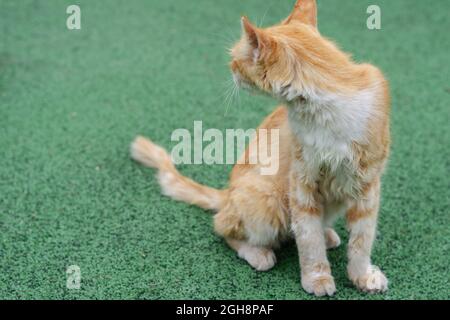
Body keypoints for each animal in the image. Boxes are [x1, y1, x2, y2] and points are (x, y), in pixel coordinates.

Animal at [131, 0, 390, 296]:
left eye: (235, 59)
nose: (229, 67)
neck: (329, 113)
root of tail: (228, 193)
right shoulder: (301, 184)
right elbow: (308, 239)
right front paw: (317, 277)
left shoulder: (367, 185)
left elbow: (361, 240)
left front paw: (362, 276)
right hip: (268, 199)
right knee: (222, 226)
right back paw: (259, 254)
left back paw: (326, 234)